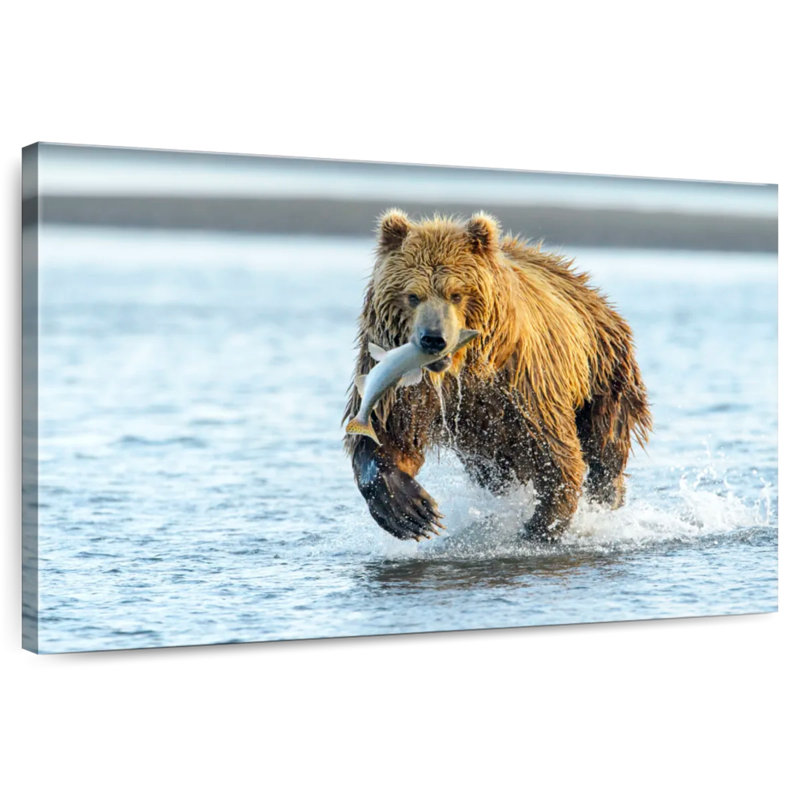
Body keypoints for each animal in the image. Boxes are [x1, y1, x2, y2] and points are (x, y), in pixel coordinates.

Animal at [343, 209, 651, 542]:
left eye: (457, 293)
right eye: (412, 295)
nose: (433, 339)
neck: (460, 371)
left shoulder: (524, 384)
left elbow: (554, 451)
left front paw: (540, 526)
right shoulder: (403, 389)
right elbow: (390, 437)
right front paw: (412, 511)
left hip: (604, 370)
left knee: (605, 443)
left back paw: (608, 494)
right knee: (493, 471)